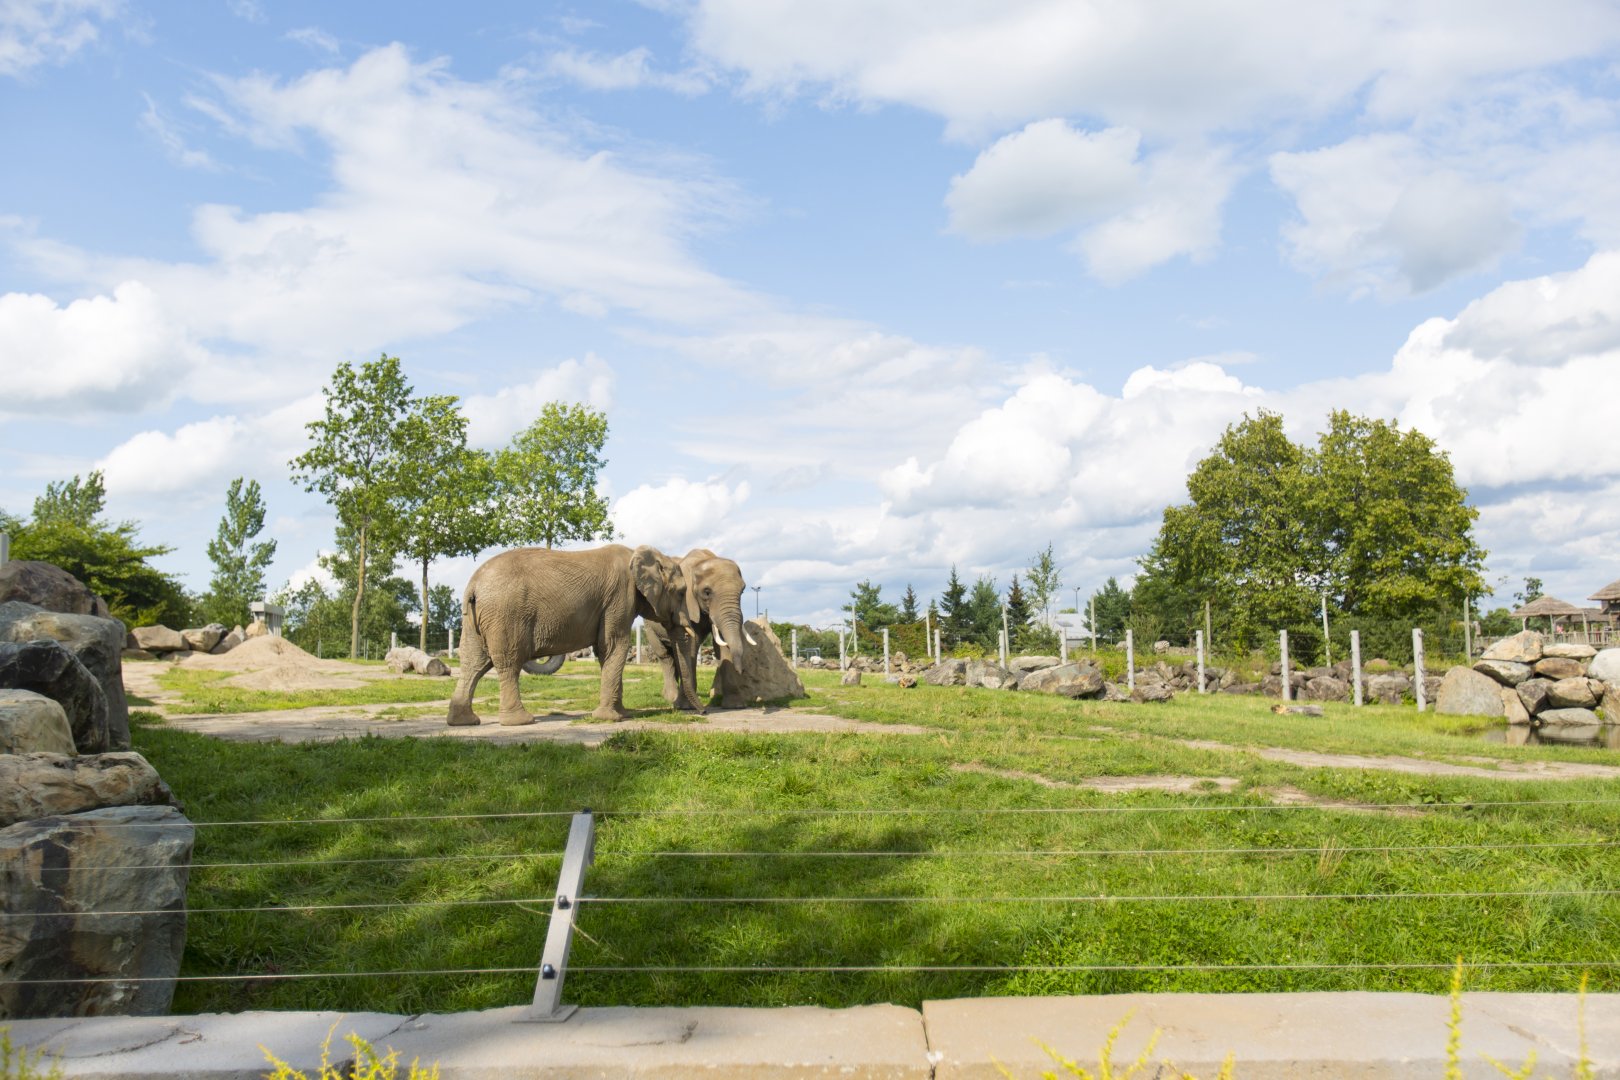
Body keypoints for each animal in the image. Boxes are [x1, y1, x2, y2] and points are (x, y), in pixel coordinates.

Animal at [446, 543, 701, 726]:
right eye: (681, 592)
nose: (701, 711)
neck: (639, 553)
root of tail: (474, 585)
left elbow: (605, 652)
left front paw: (622, 714)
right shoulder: (619, 597)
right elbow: (614, 646)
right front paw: (611, 719)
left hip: (474, 618)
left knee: (473, 662)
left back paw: (464, 722)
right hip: (505, 615)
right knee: (509, 662)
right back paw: (520, 721)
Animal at [645, 548, 757, 711]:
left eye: (742, 591)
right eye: (707, 592)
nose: (742, 671)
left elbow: (722, 645)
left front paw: (735, 706)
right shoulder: (685, 605)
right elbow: (691, 646)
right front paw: (685, 707)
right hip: (649, 627)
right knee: (665, 656)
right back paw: (671, 697)